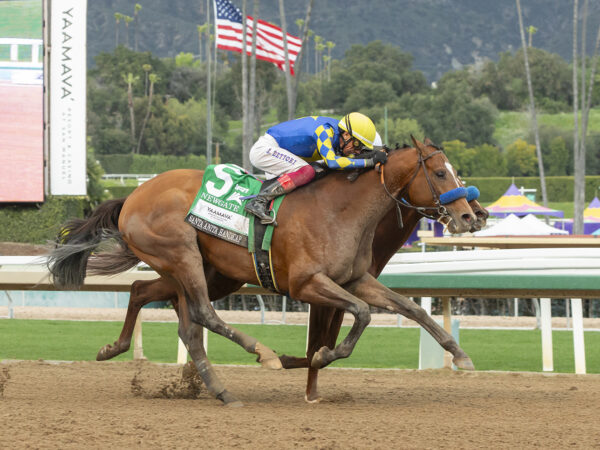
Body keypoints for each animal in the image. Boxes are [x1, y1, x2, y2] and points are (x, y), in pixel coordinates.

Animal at [48, 138, 478, 408]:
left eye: (455, 171)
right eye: (441, 173)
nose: (469, 215)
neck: (342, 210)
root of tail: (133, 196)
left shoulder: (354, 279)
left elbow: (410, 308)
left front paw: (460, 355)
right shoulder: (307, 284)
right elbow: (361, 315)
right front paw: (321, 355)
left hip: (208, 272)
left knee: (150, 297)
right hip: (182, 254)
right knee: (202, 314)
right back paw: (263, 353)